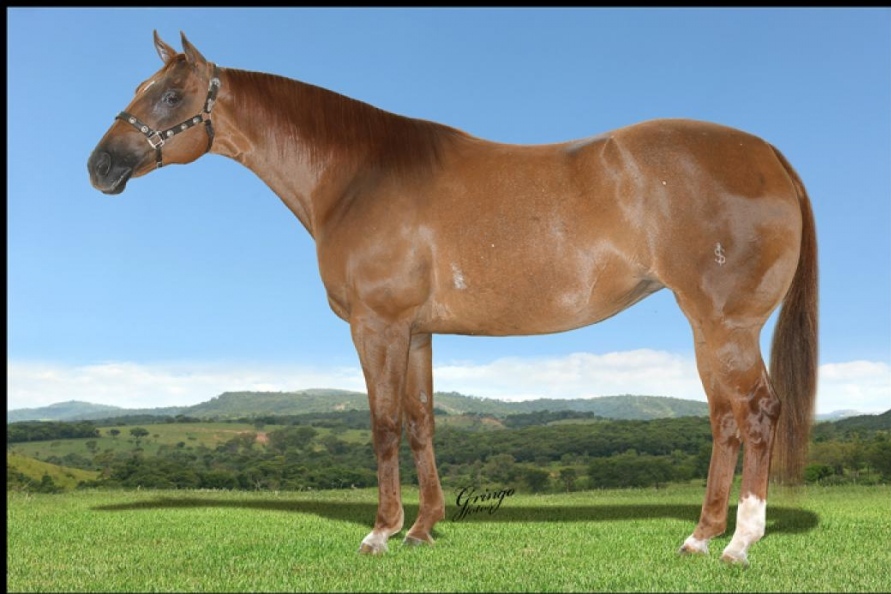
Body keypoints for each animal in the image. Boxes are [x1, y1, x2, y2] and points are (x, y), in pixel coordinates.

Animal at [88, 31, 817, 565]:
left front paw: (381, 532)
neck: (359, 176)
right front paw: (423, 528)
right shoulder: (416, 331)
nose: (100, 166)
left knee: (757, 412)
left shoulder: (377, 325)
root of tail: (769, 155)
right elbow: (421, 421)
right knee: (724, 419)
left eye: (172, 93)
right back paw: (700, 536)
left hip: (724, 323)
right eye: (139, 89)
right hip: (707, 327)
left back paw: (740, 541)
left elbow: (383, 423)